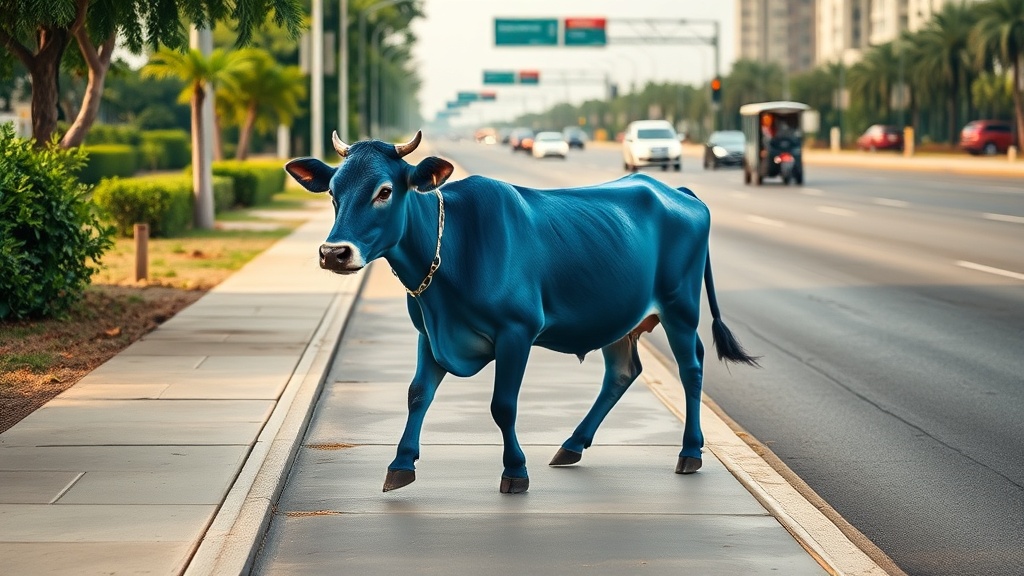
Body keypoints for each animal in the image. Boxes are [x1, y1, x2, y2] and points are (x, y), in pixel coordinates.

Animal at [285, 131, 759, 494]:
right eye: (333, 193)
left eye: (384, 191)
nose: (333, 253)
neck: (453, 250)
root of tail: (673, 189)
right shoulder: (428, 332)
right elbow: (417, 394)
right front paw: (400, 464)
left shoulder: (517, 332)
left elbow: (503, 406)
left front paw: (515, 471)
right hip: (617, 319)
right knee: (622, 373)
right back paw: (572, 445)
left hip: (681, 307)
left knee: (692, 368)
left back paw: (690, 452)